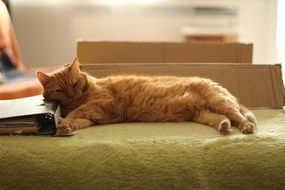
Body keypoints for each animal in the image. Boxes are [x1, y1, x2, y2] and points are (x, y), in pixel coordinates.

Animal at [36, 58, 255, 134]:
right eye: (60, 90)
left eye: (74, 84)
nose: (72, 94)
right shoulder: (92, 118)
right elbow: (78, 120)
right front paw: (65, 125)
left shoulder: (102, 102)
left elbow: (78, 112)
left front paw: (65, 121)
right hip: (203, 114)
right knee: (223, 118)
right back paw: (224, 127)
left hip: (219, 102)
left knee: (239, 116)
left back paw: (246, 127)